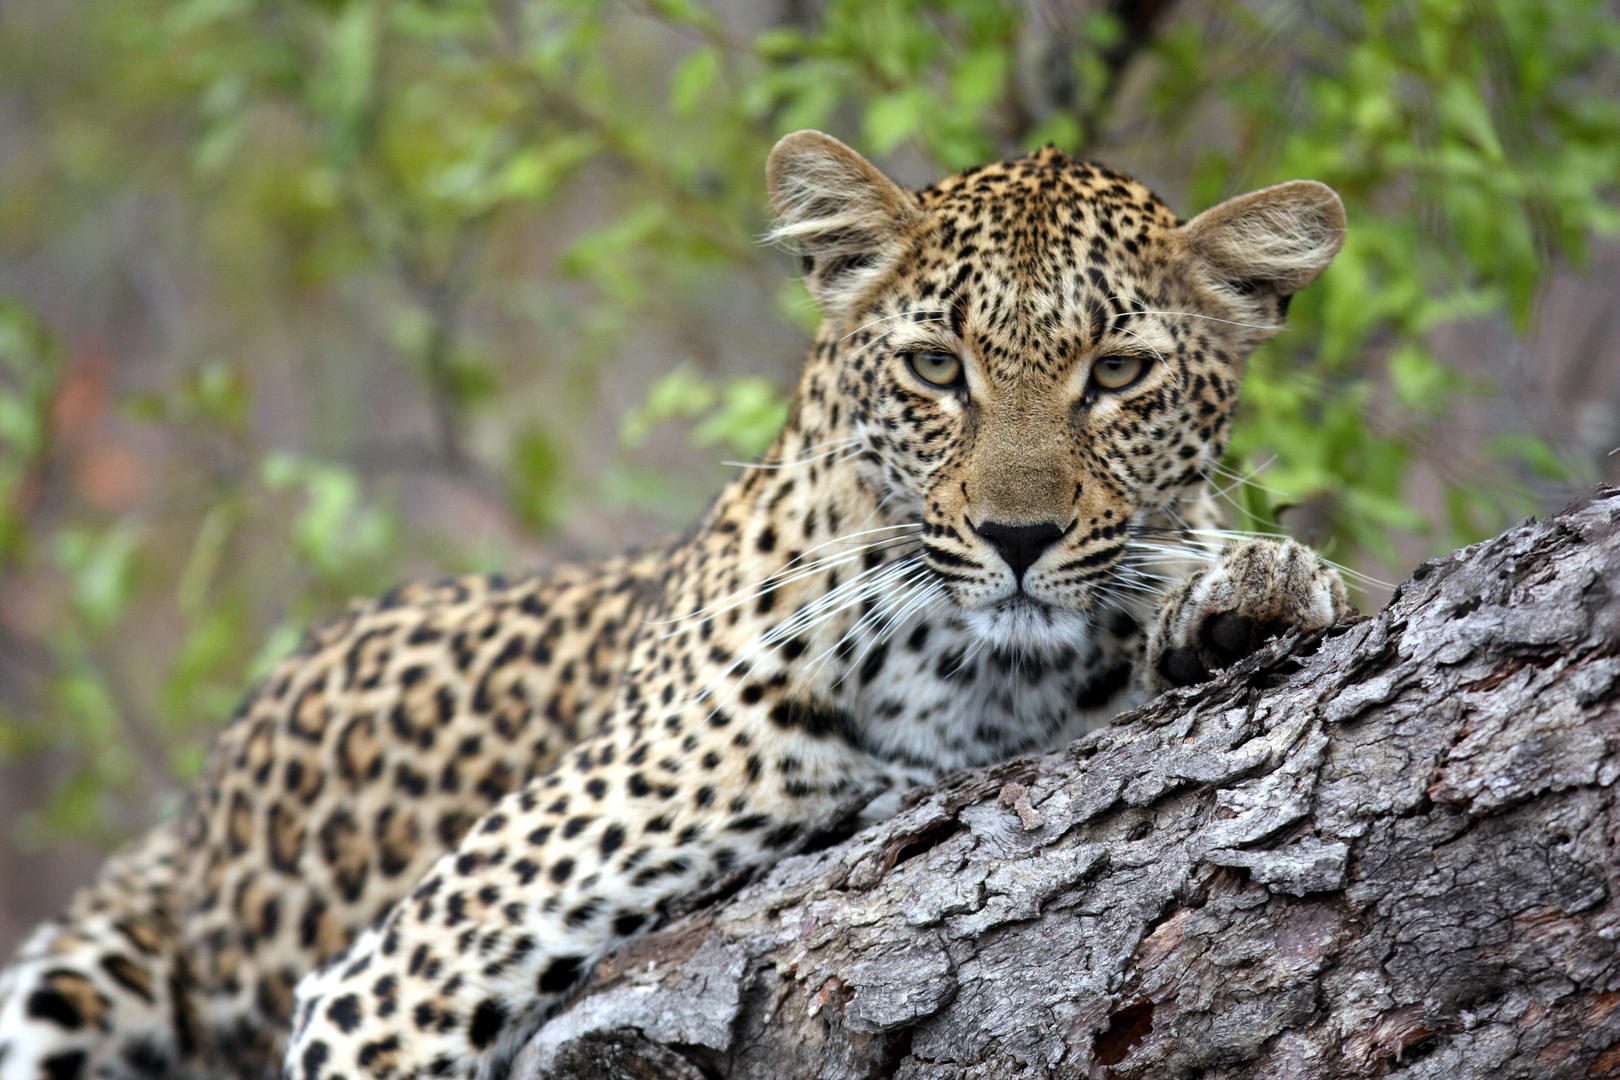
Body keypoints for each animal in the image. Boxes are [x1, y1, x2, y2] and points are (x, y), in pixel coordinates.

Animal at [0, 130, 1351, 1079]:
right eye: (936, 367)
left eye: (1117, 373)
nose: (1018, 538)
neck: (983, 682)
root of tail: (195, 811)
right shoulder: (397, 979)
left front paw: (1254, 586)